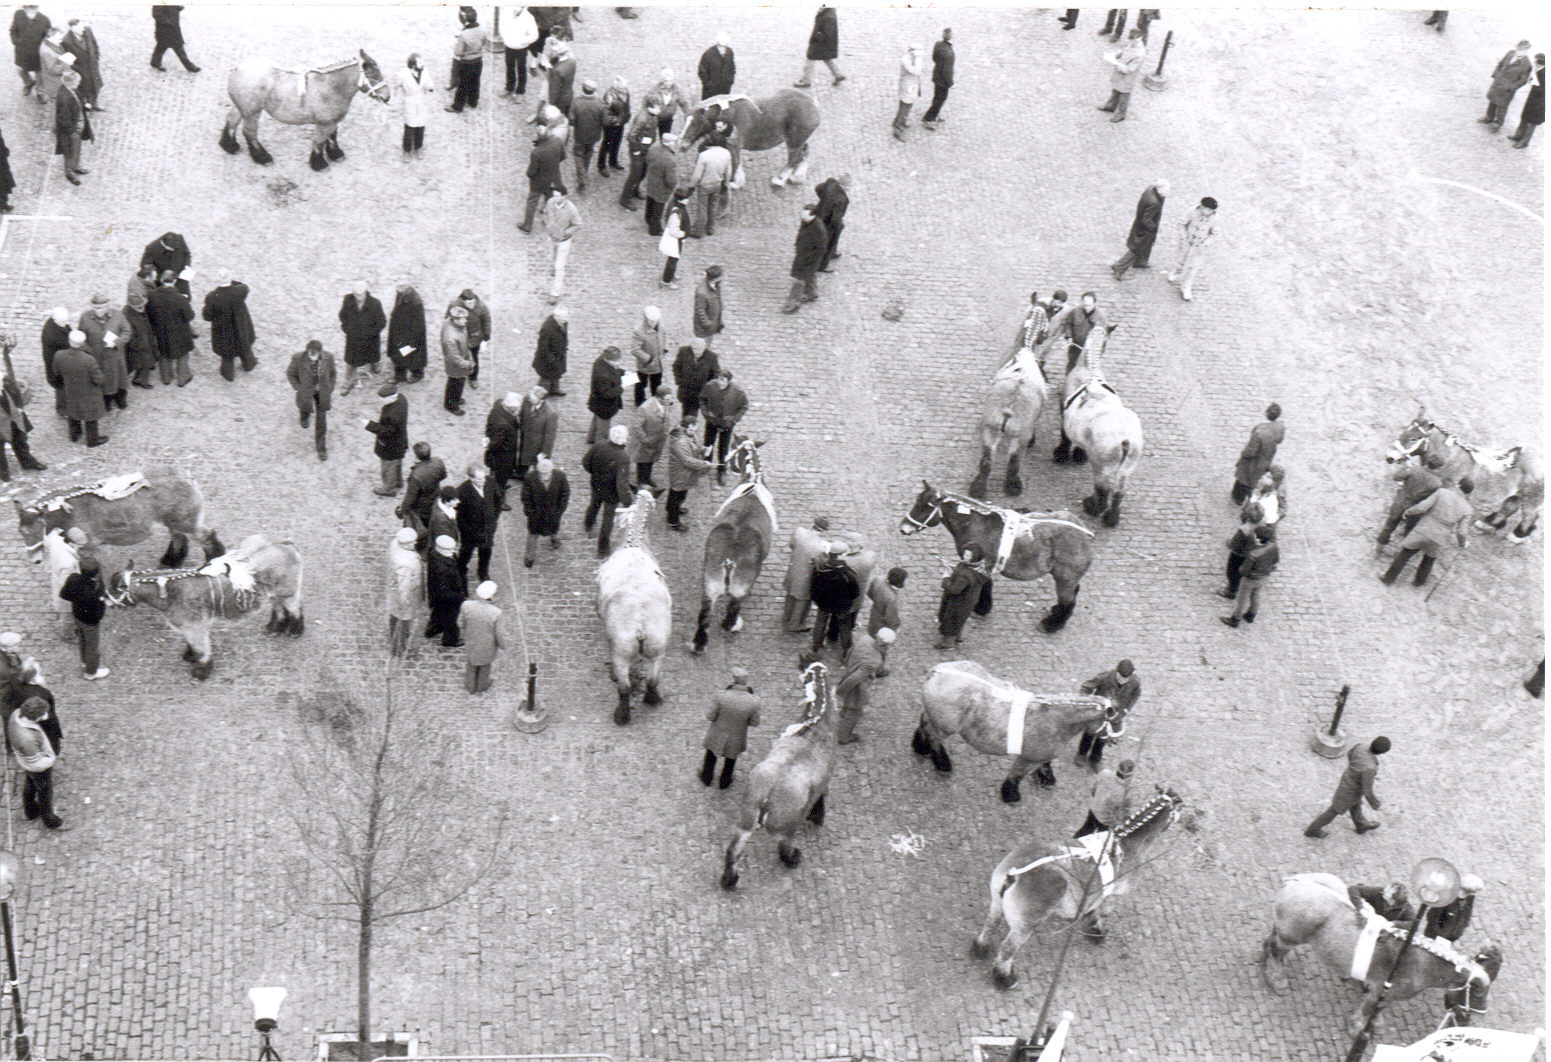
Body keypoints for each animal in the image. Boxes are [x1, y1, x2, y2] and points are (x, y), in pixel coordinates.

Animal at [218, 49, 387, 169]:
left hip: (242, 108)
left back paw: (230, 146)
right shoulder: (324, 123)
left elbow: (332, 137)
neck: (330, 86)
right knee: (249, 132)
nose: (387, 97)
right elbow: (319, 141)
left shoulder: (332, 121)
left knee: (231, 120)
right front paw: (319, 164)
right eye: (374, 76)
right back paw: (262, 157)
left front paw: (336, 154)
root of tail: (238, 69)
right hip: (252, 112)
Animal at [691, 434, 775, 651]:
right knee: (733, 608)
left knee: (704, 613)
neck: (754, 482)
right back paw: (732, 625)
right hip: (739, 586)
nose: (726, 463)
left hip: (710, 582)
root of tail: (730, 559)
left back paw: (698, 644)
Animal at [899, 483, 1091, 632]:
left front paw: (982, 607)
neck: (976, 525)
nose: (903, 528)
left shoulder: (984, 564)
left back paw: (1052, 624)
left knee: (1068, 600)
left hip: (1064, 579)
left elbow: (986, 584)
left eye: (925, 507)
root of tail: (1085, 534)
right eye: (917, 502)